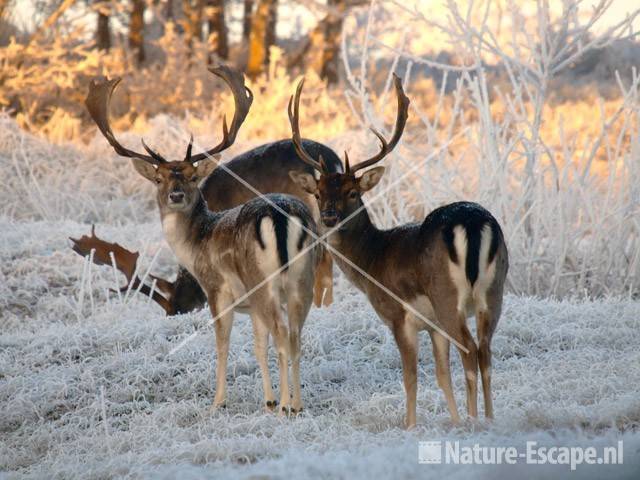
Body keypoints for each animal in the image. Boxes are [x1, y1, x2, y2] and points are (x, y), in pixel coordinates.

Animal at [85, 65, 322, 414]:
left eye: (193, 176)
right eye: (159, 178)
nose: (176, 194)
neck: (196, 245)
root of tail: (280, 216)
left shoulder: (216, 290)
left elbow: (222, 345)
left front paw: (218, 402)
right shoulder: (251, 308)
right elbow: (258, 346)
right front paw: (266, 400)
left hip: (262, 282)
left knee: (283, 335)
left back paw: (285, 408)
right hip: (302, 279)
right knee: (295, 337)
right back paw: (296, 404)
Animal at [288, 75, 508, 428]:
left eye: (353, 192)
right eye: (319, 193)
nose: (329, 217)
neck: (372, 261)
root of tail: (473, 224)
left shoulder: (397, 314)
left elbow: (411, 377)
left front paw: (411, 426)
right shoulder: (432, 325)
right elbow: (442, 375)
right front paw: (454, 421)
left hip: (447, 295)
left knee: (471, 350)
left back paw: (476, 420)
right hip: (495, 289)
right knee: (486, 350)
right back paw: (488, 419)